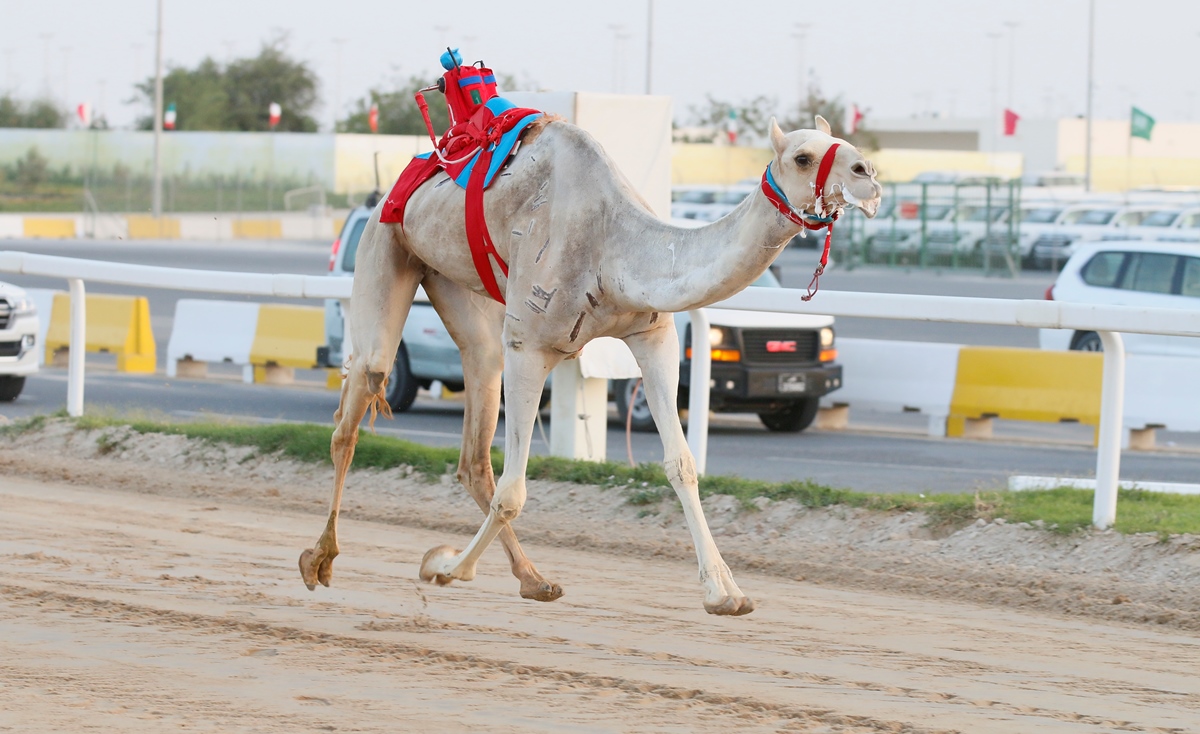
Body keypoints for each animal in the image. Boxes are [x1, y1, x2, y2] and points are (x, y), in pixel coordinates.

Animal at [300, 113, 883, 614]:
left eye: (845, 144)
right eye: (804, 157)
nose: (870, 177)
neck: (614, 248)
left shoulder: (652, 335)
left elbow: (682, 464)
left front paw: (726, 593)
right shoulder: (529, 344)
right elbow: (515, 490)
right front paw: (444, 569)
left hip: (458, 291)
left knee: (473, 442)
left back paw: (534, 580)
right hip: (389, 242)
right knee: (358, 401)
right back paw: (319, 560)